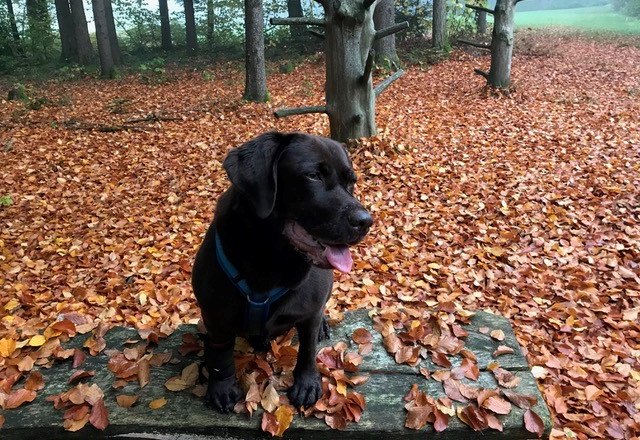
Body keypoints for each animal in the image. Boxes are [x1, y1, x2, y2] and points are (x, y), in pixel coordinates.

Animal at [191, 132, 370, 414]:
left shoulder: (309, 313)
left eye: (351, 181)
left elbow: (307, 349)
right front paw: (222, 387)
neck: (269, 260)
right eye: (313, 176)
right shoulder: (215, 314)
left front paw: (306, 383)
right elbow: (220, 355)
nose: (366, 221)